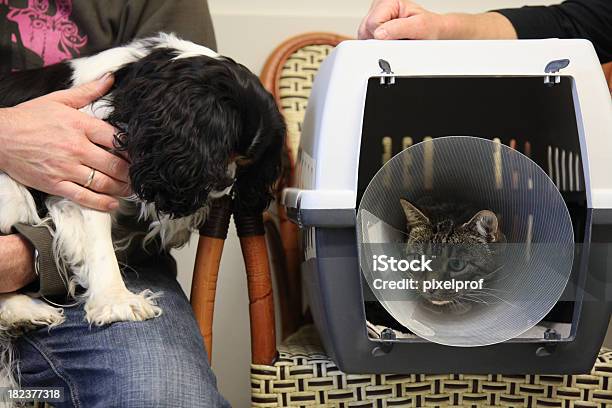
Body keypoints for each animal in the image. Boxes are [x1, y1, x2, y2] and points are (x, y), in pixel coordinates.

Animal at [0, 33, 286, 388]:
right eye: (224, 152)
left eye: (245, 163)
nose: (225, 182)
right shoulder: (79, 172)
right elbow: (98, 243)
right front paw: (118, 302)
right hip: (10, 190)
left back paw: (23, 313)